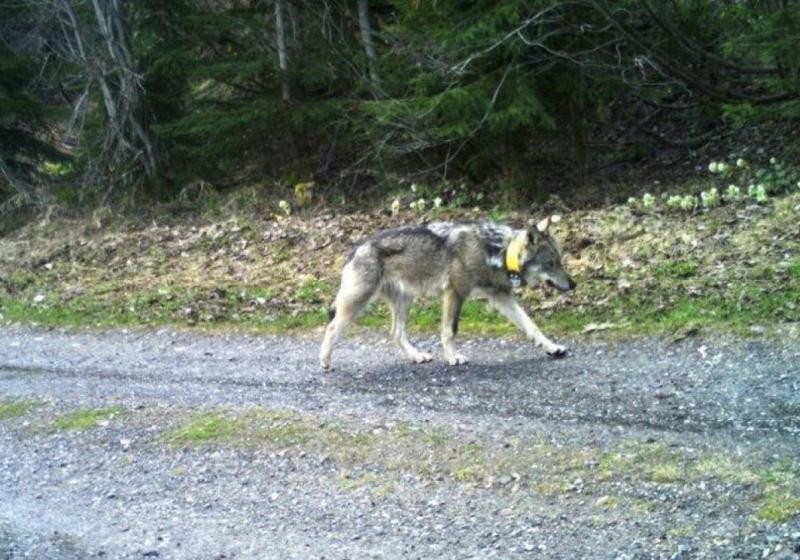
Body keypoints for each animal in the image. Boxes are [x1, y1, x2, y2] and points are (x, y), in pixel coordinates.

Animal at [318, 214, 576, 368]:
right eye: (551, 263)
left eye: (560, 261)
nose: (573, 285)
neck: (497, 252)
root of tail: (355, 248)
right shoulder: (455, 293)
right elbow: (450, 331)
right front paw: (453, 357)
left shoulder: (501, 298)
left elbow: (532, 326)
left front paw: (552, 348)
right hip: (358, 303)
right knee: (331, 328)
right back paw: (325, 361)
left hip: (404, 301)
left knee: (396, 333)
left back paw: (417, 356)